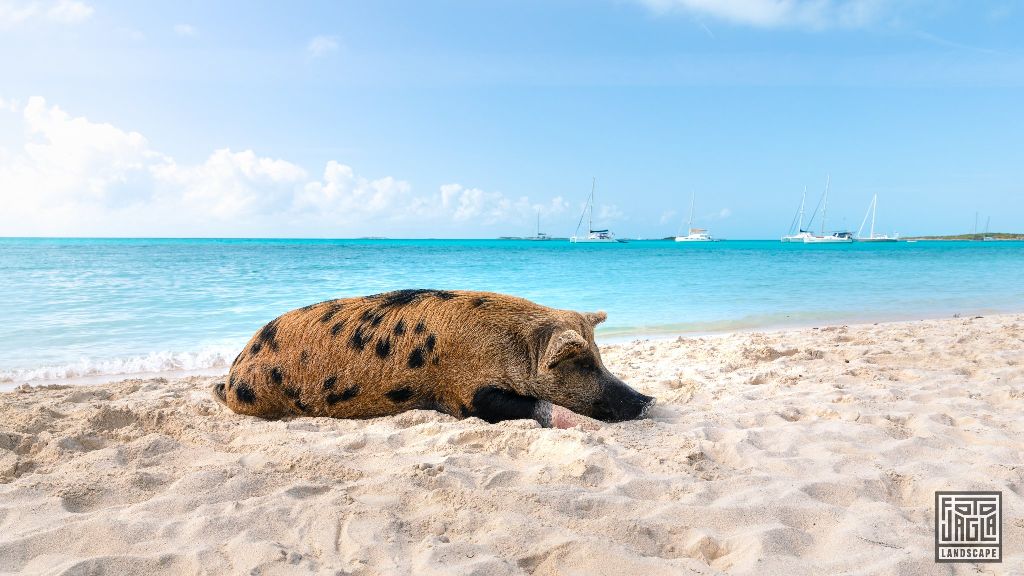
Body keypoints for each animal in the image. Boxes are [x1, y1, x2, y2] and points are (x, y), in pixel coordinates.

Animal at [216, 286, 655, 426]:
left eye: (600, 357)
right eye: (583, 363)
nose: (648, 400)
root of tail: (232, 372)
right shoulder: (463, 393)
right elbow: (530, 406)